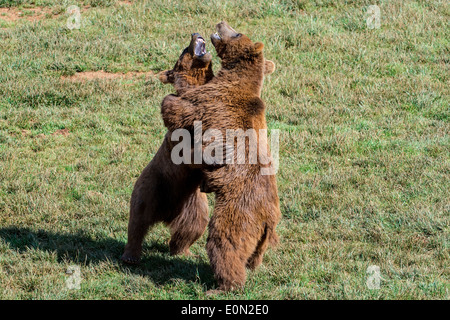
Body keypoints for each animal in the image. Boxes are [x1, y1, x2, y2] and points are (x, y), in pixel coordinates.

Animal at [121, 32, 214, 264]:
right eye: (184, 49)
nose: (195, 34)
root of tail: (166, 214)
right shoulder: (177, 122)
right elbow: (185, 142)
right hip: (152, 185)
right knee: (137, 220)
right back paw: (130, 255)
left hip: (194, 202)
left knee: (193, 227)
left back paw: (183, 252)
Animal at [161, 21, 282, 292]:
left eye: (237, 32)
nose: (221, 23)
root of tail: (268, 219)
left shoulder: (211, 102)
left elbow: (183, 107)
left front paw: (171, 98)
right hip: (261, 238)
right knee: (254, 255)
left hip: (237, 212)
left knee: (224, 243)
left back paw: (223, 285)